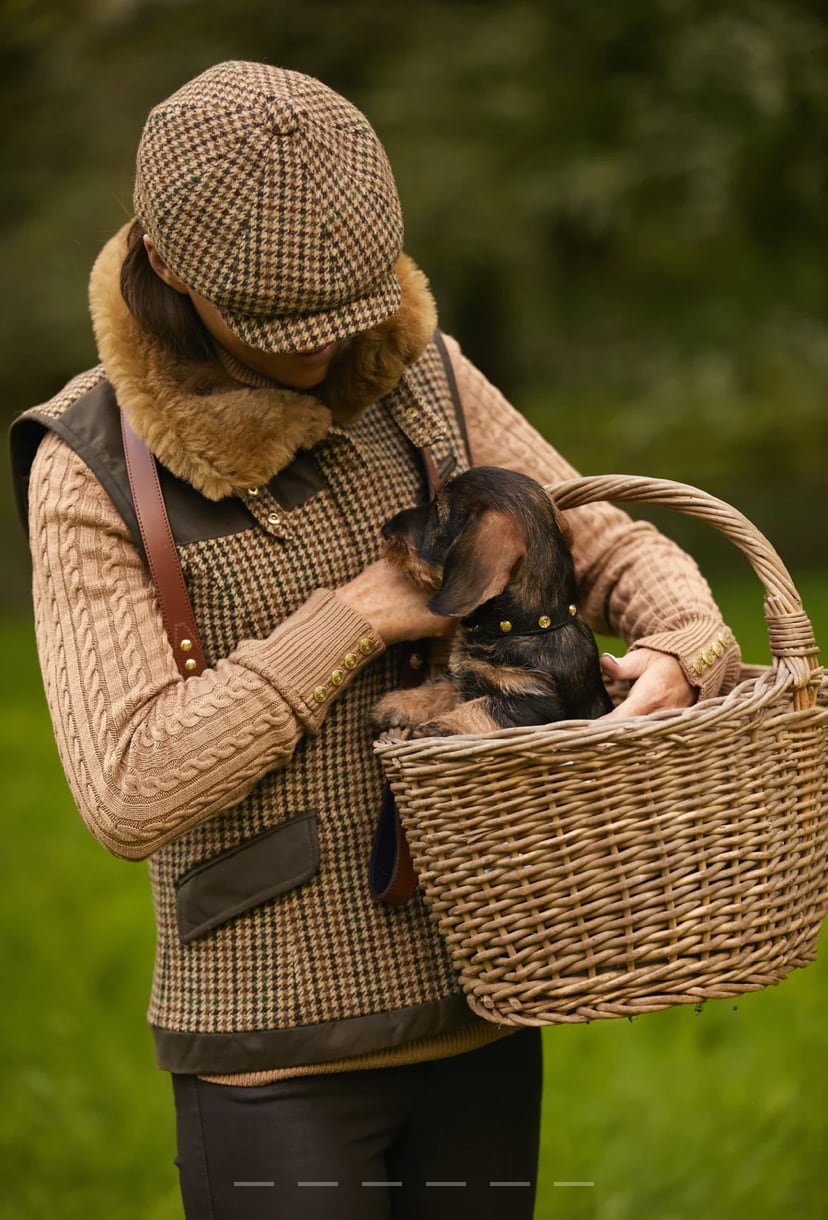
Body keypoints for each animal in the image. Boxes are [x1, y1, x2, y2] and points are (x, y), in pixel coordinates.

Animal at [373, 463, 612, 732]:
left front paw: (436, 728)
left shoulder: (532, 700)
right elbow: (447, 687)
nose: (386, 530)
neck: (523, 627)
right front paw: (400, 702)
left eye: (437, 514)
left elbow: (479, 709)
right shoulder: (469, 677)